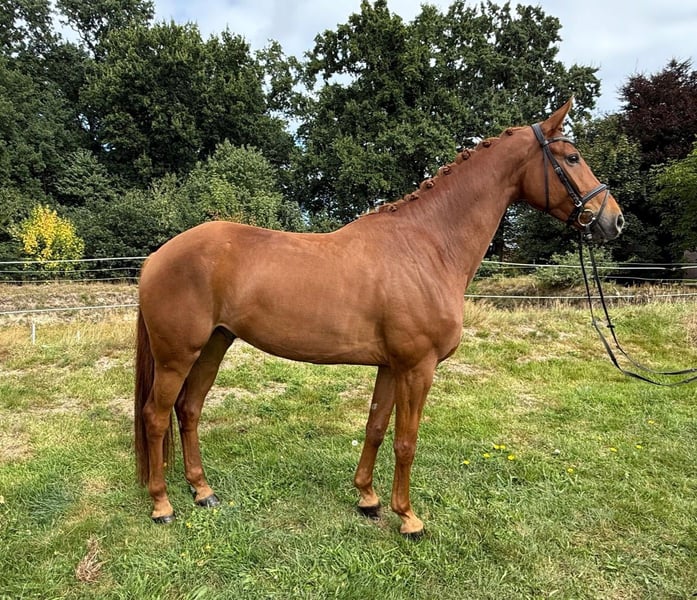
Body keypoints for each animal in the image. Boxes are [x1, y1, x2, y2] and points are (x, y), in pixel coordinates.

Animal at [134, 99, 624, 537]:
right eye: (572, 157)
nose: (614, 221)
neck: (427, 245)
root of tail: (157, 256)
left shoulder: (391, 366)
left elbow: (374, 427)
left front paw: (367, 499)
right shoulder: (418, 368)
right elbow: (406, 442)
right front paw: (407, 518)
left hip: (214, 344)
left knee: (189, 408)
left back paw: (202, 491)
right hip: (178, 354)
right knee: (155, 415)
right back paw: (162, 505)